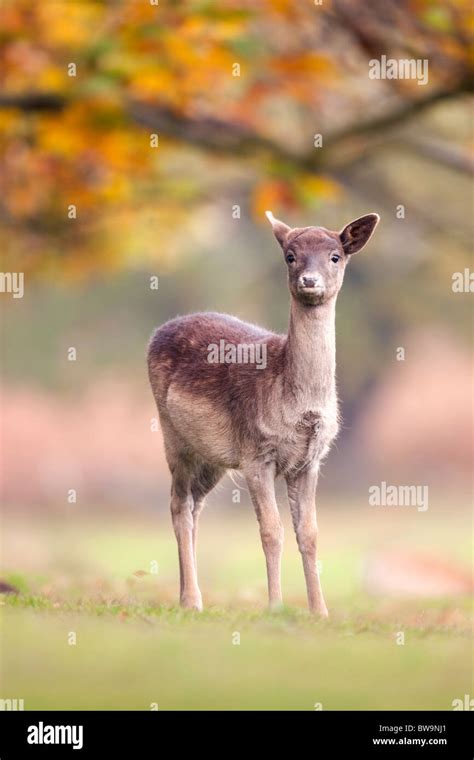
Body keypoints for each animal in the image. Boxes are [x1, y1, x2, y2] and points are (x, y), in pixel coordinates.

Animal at [146, 211, 380, 616]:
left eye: (335, 256)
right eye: (290, 255)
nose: (309, 280)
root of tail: (155, 334)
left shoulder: (310, 460)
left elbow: (310, 533)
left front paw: (320, 611)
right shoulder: (256, 452)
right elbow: (271, 532)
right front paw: (274, 606)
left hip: (213, 459)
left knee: (195, 507)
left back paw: (185, 594)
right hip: (174, 437)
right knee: (178, 504)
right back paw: (192, 600)